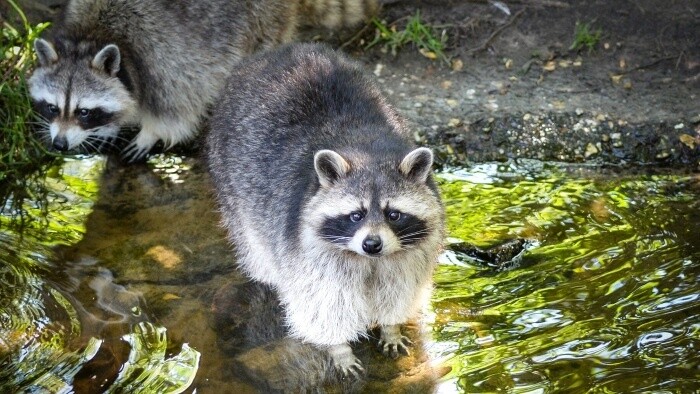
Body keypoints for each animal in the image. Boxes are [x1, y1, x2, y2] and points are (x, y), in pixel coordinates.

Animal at [28, 0, 378, 162]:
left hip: (263, 20)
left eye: (83, 111)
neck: (90, 38)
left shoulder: (161, 56)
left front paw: (149, 133)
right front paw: (112, 126)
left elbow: (176, 110)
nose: (59, 144)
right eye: (51, 108)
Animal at [205, 41, 446, 378]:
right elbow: (322, 303)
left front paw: (391, 326)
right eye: (356, 214)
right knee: (257, 248)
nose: (372, 244)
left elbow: (400, 288)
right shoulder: (306, 248)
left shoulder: (412, 255)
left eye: (393, 214)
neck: (368, 152)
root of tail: (280, 51)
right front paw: (339, 348)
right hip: (229, 178)